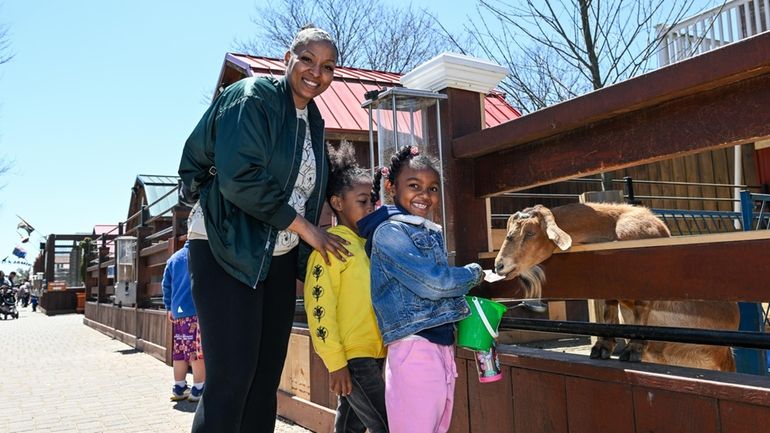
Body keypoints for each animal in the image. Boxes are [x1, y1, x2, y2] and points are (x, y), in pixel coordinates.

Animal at [492, 202, 736, 372]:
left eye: (530, 233)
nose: (499, 265)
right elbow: (608, 307)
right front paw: (602, 347)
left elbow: (642, 306)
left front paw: (633, 349)